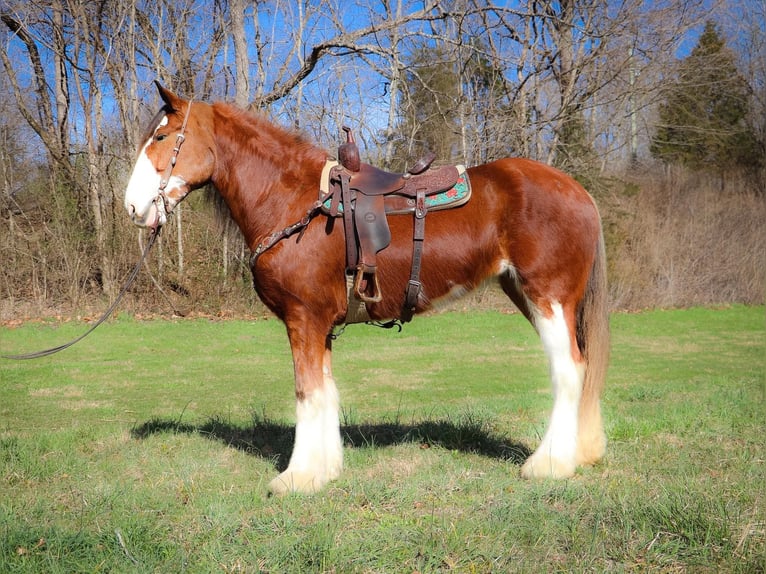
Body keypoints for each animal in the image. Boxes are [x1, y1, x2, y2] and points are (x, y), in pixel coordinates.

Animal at [123, 83, 608, 498]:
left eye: (162, 136)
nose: (132, 206)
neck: (294, 202)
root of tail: (579, 191)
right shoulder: (320, 325)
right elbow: (325, 391)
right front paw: (325, 470)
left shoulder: (303, 320)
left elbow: (306, 393)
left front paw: (296, 477)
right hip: (527, 295)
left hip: (548, 298)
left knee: (569, 370)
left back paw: (548, 464)